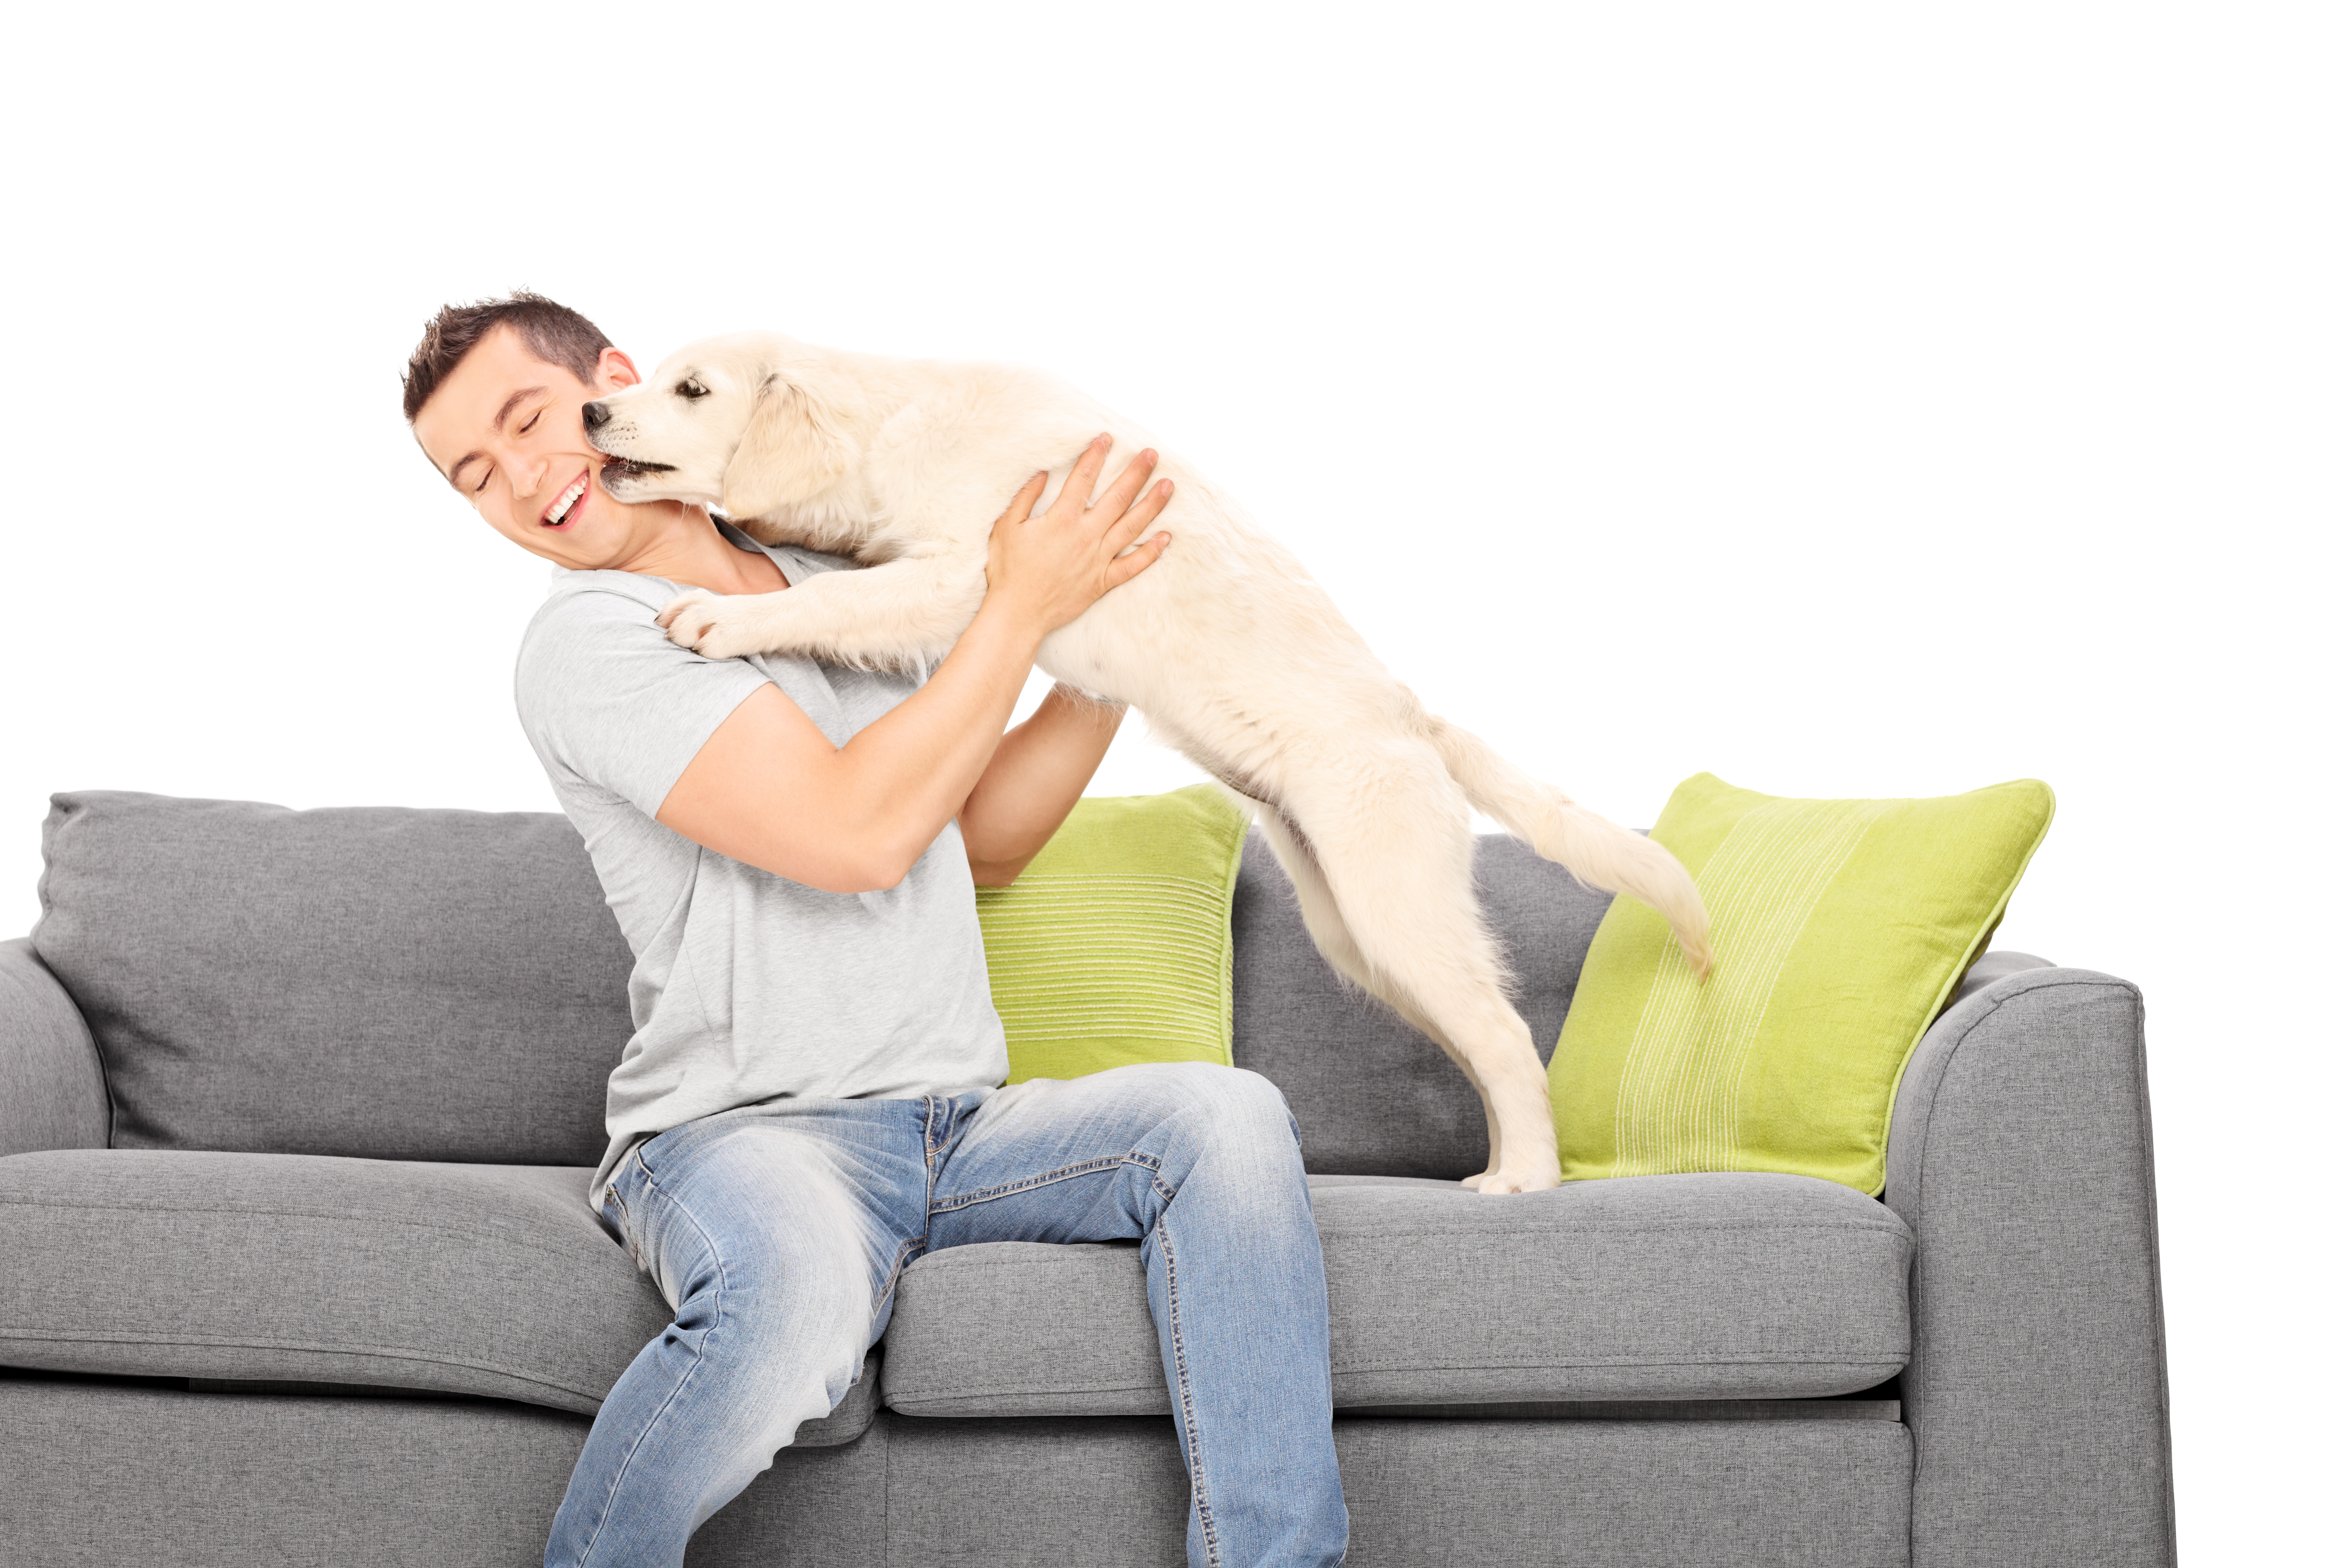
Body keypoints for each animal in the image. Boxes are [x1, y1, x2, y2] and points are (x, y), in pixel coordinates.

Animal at [576, 329, 1702, 1189]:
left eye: (690, 389)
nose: (589, 414)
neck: (899, 426)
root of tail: (1415, 718)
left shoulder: (969, 576)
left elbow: (839, 597)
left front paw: (726, 614)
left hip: (1395, 902)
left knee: (1508, 1039)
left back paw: (1527, 1180)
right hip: (1356, 932)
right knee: (1481, 1041)